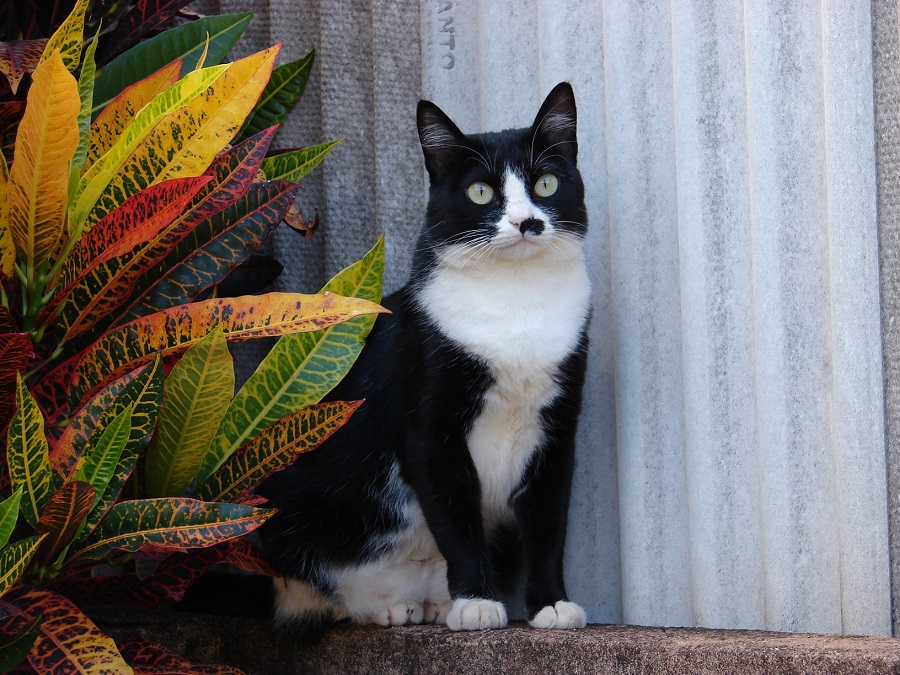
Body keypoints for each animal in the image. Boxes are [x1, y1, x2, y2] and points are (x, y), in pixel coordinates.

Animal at [255, 83, 592, 632]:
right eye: (481, 193)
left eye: (546, 184)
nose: (526, 222)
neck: (515, 299)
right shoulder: (431, 423)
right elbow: (456, 518)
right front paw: (477, 602)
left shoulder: (558, 428)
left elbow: (548, 522)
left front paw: (551, 604)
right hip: (286, 501)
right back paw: (390, 606)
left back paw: (431, 604)